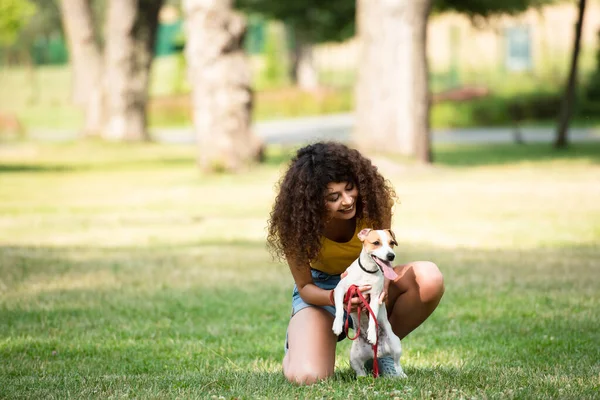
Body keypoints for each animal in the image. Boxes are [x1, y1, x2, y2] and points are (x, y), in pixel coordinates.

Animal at [330, 228, 406, 378]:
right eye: (376, 243)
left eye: (392, 243)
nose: (391, 256)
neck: (368, 272)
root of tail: (376, 353)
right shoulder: (340, 289)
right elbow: (340, 309)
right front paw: (337, 326)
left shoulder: (376, 297)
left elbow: (372, 317)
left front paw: (371, 333)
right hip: (354, 357)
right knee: (360, 370)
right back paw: (362, 378)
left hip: (395, 344)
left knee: (396, 363)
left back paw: (400, 375)